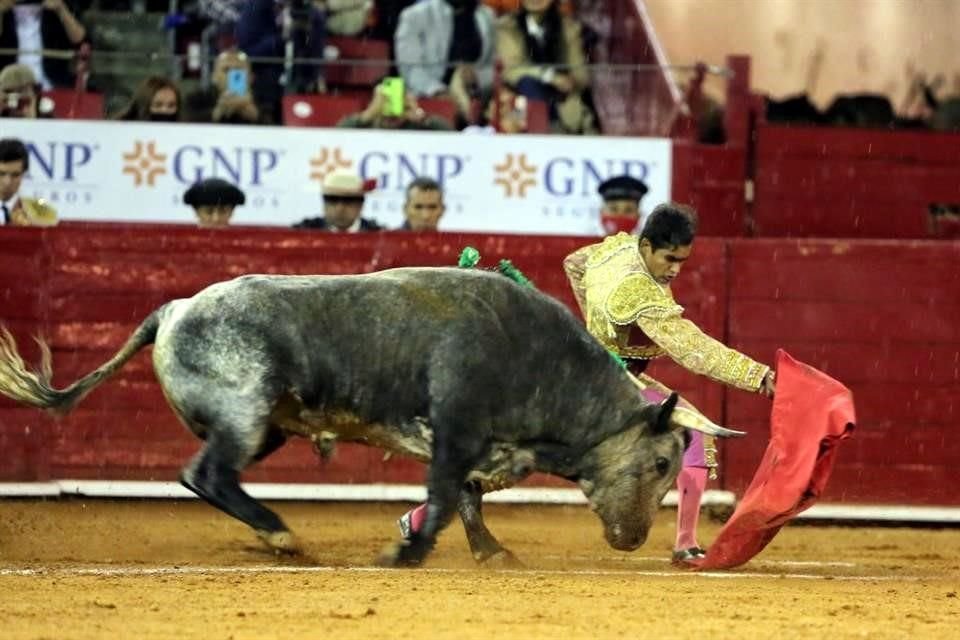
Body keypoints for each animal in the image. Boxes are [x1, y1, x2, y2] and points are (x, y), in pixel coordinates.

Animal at [0, 268, 744, 568]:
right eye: (658, 462)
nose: (635, 539)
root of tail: (176, 306)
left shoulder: (472, 444)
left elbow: (466, 499)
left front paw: (490, 553)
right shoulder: (455, 430)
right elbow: (444, 497)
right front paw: (406, 553)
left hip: (265, 427)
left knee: (206, 475)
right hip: (245, 410)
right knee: (207, 473)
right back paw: (282, 536)